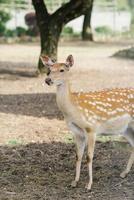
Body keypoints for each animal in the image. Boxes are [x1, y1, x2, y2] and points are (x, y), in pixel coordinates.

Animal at [40, 54, 134, 191]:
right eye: (49, 70)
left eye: (62, 70)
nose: (48, 80)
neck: (73, 110)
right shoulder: (77, 132)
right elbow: (78, 156)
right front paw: (74, 182)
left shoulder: (91, 128)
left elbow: (89, 157)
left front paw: (89, 185)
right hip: (126, 129)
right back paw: (124, 173)